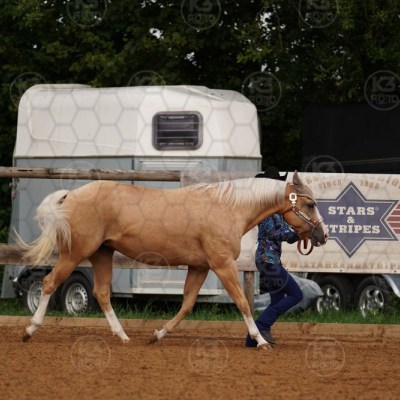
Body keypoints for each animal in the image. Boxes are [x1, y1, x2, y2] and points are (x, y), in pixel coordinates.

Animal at [17, 171, 328, 349]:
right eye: (310, 203)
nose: (322, 236)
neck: (228, 208)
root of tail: (72, 194)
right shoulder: (222, 264)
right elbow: (242, 302)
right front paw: (261, 341)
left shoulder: (200, 267)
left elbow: (187, 304)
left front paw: (157, 334)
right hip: (75, 253)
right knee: (49, 283)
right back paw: (29, 330)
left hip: (101, 254)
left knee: (102, 293)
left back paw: (123, 336)